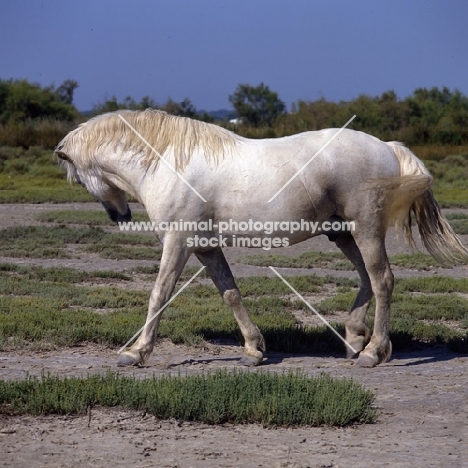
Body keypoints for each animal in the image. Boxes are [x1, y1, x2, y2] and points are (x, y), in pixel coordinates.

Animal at [55, 110, 468, 370]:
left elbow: (159, 295)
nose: (119, 216)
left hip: (365, 229)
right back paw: (354, 339)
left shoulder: (178, 243)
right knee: (368, 279)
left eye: (77, 176)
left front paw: (136, 353)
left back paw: (372, 352)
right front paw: (253, 350)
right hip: (342, 234)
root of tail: (386, 146)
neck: (168, 163)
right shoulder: (206, 248)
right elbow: (231, 294)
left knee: (382, 281)